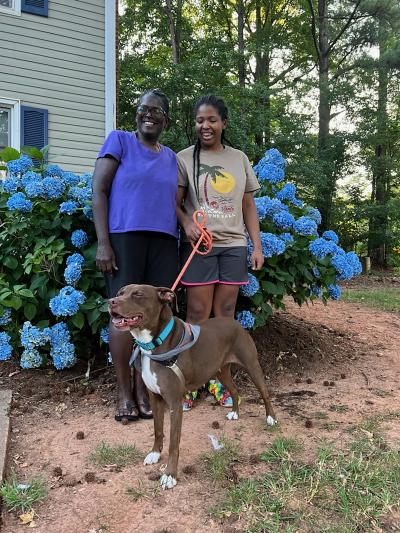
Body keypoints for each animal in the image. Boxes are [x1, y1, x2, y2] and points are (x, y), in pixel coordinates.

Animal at [108, 284, 276, 488]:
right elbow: (158, 430)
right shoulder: (155, 399)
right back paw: (235, 412)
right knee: (235, 390)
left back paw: (271, 418)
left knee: (265, 393)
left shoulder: (174, 404)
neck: (157, 343)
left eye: (138, 294)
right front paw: (155, 454)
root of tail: (235, 323)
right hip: (220, 371)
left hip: (252, 366)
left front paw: (170, 475)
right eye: (119, 293)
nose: (110, 301)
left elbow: (173, 443)